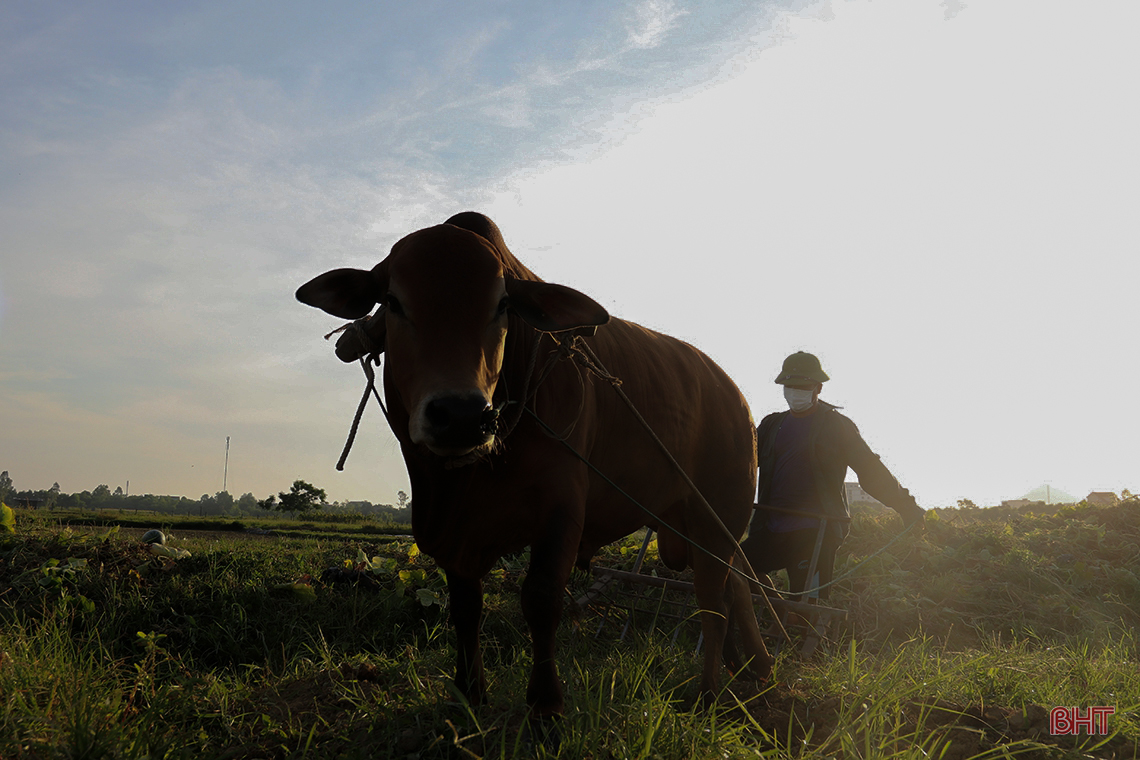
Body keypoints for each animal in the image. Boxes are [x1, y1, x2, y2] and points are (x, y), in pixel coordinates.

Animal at [298, 213, 770, 724]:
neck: (477, 471)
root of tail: (735, 395)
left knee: (713, 604)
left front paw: (546, 705)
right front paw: (470, 693)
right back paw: (753, 668)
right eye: (393, 301)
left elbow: (541, 599)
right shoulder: (448, 529)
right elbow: (466, 606)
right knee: (734, 589)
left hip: (718, 520)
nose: (461, 415)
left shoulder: (560, 508)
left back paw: (710, 693)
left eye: (503, 304)